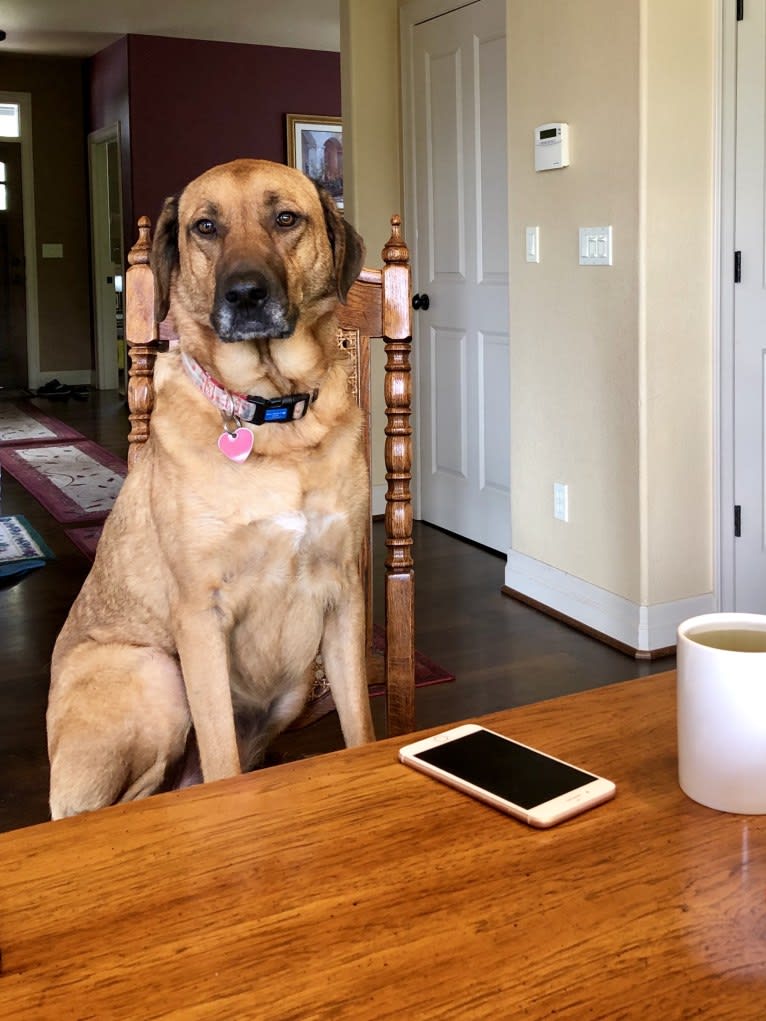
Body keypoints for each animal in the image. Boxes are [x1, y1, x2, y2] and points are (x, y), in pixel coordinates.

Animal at [46, 155, 375, 816]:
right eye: (205, 227)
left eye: (286, 219)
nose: (245, 294)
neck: (272, 417)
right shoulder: (200, 614)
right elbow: (223, 759)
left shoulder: (344, 596)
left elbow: (360, 726)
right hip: (157, 675)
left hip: (293, 686)